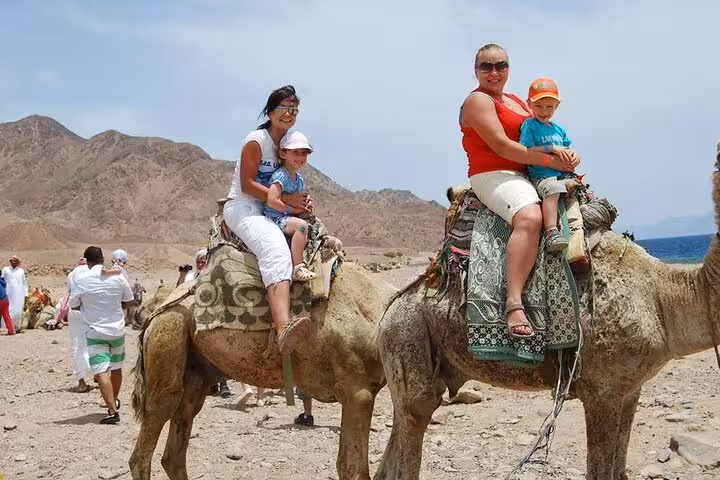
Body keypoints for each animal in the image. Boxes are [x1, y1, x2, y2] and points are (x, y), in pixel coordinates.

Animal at [129, 261, 396, 480]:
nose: (136, 314)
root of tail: (155, 313)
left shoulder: (360, 393)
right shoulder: (358, 392)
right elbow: (353, 469)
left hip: (194, 373)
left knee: (176, 444)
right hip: (169, 332)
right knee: (150, 434)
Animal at [374, 148, 720, 480]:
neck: (663, 298)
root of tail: (391, 307)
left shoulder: (630, 389)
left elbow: (619, 470)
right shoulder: (602, 391)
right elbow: (599, 471)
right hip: (406, 334)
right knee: (416, 416)